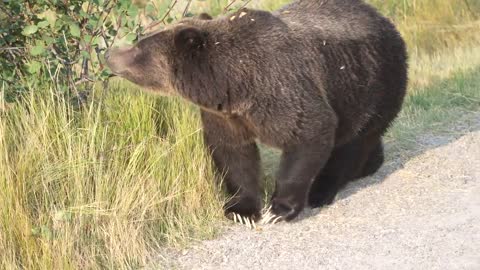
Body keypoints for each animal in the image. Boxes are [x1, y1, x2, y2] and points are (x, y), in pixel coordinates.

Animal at [106, 0, 408, 224]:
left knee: (351, 142)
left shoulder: (283, 89)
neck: (234, 84)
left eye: (139, 47)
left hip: (369, 85)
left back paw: (322, 190)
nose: (110, 55)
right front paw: (242, 210)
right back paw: (371, 164)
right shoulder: (226, 115)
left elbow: (310, 132)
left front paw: (279, 209)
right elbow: (233, 154)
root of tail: (386, 20)